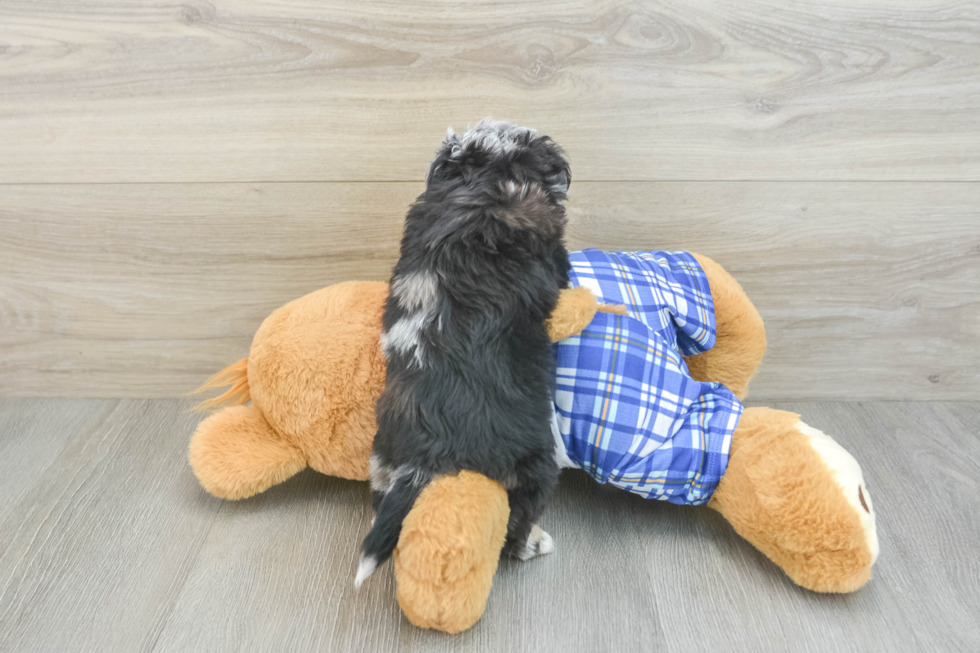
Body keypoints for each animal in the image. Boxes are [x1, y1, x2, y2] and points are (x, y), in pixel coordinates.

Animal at [354, 118, 572, 584]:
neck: (483, 174)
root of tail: (429, 452)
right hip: (535, 464)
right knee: (518, 521)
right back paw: (535, 543)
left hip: (382, 458)